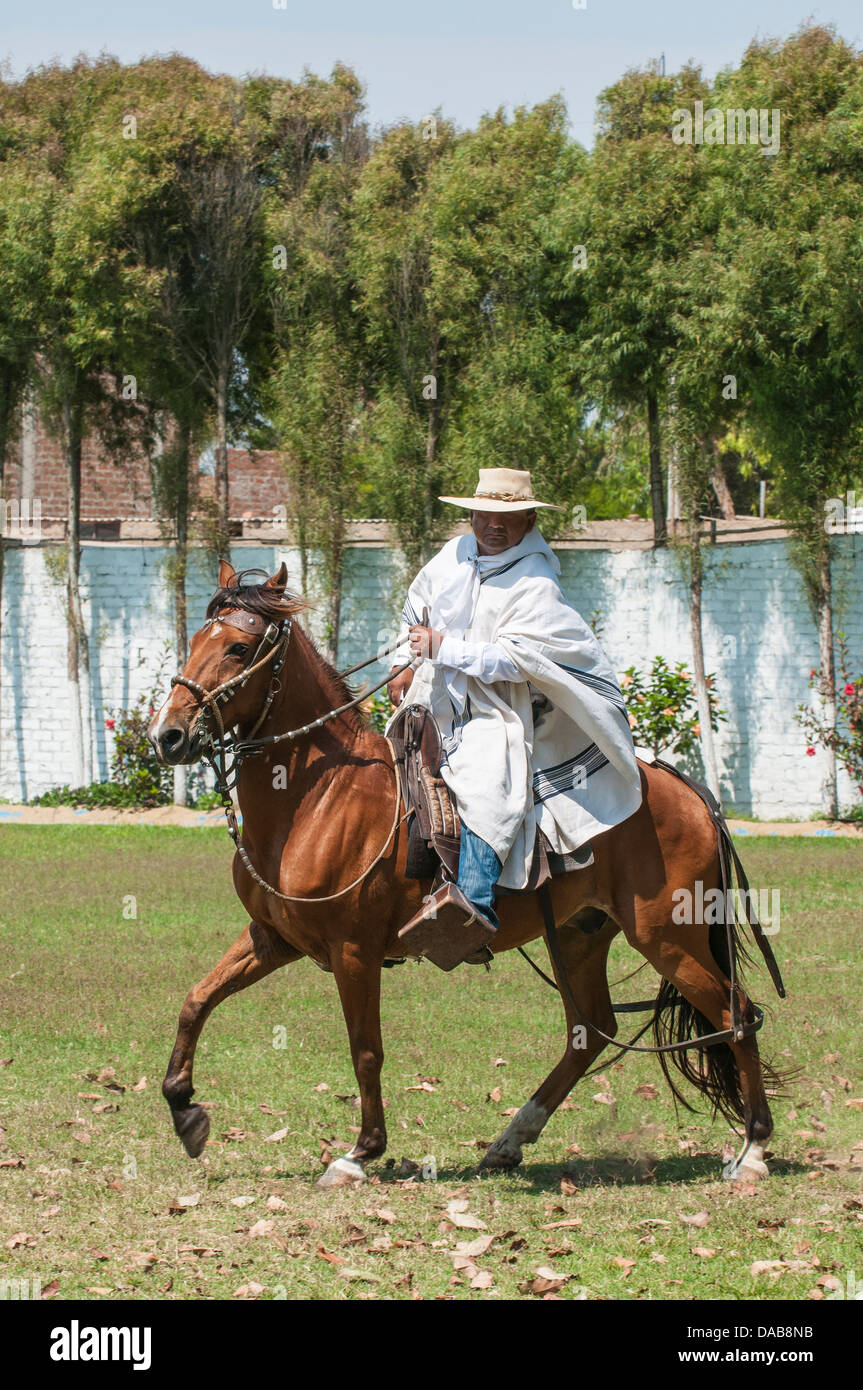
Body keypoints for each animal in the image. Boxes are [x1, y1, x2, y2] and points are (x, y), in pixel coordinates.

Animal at [148, 558, 778, 1189]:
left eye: (239, 647)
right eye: (196, 641)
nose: (168, 735)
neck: (318, 800)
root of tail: (691, 792)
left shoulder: (353, 951)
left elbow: (365, 1049)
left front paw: (360, 1152)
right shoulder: (274, 938)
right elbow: (196, 999)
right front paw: (184, 1108)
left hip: (667, 936)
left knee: (736, 1014)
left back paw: (752, 1151)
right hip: (581, 934)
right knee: (591, 1030)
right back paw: (509, 1140)